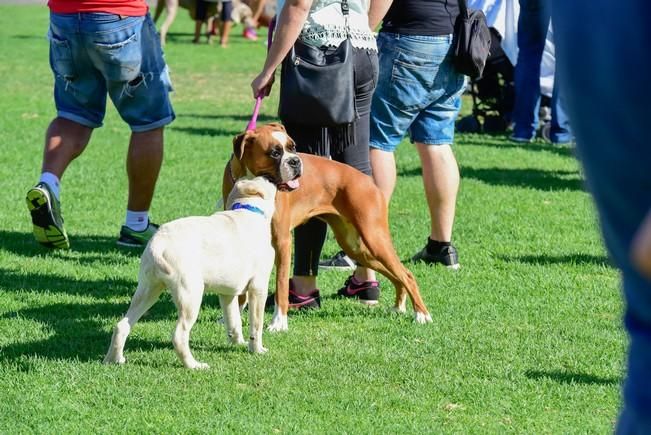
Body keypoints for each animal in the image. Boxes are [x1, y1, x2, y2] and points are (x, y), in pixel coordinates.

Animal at [103, 175, 276, 370]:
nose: (269, 176)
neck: (247, 210)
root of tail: (159, 243)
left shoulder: (227, 293)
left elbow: (234, 320)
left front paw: (238, 343)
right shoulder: (258, 288)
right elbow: (256, 324)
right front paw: (257, 350)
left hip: (147, 291)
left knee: (121, 325)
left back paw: (113, 360)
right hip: (190, 296)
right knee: (179, 335)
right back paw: (194, 365)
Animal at [224, 124, 432, 332]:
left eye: (293, 147)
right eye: (275, 153)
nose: (295, 161)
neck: (251, 184)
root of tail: (368, 181)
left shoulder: (282, 242)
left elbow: (281, 284)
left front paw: (279, 323)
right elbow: (241, 287)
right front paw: (234, 317)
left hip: (375, 238)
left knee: (406, 275)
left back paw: (422, 315)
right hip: (357, 248)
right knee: (396, 275)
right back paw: (399, 307)